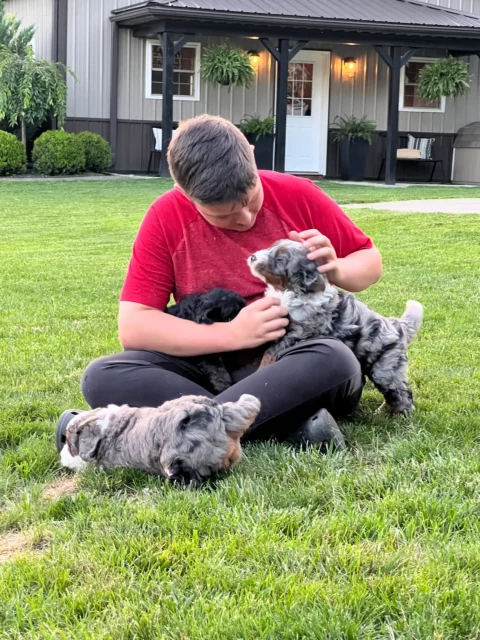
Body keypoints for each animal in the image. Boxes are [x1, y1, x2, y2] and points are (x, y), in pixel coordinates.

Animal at [249, 240, 422, 416]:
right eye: (271, 247)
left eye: (280, 259)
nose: (252, 257)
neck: (289, 291)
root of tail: (398, 325)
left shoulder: (297, 332)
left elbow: (269, 352)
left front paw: (259, 370)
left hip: (386, 367)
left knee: (400, 391)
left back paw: (400, 414)